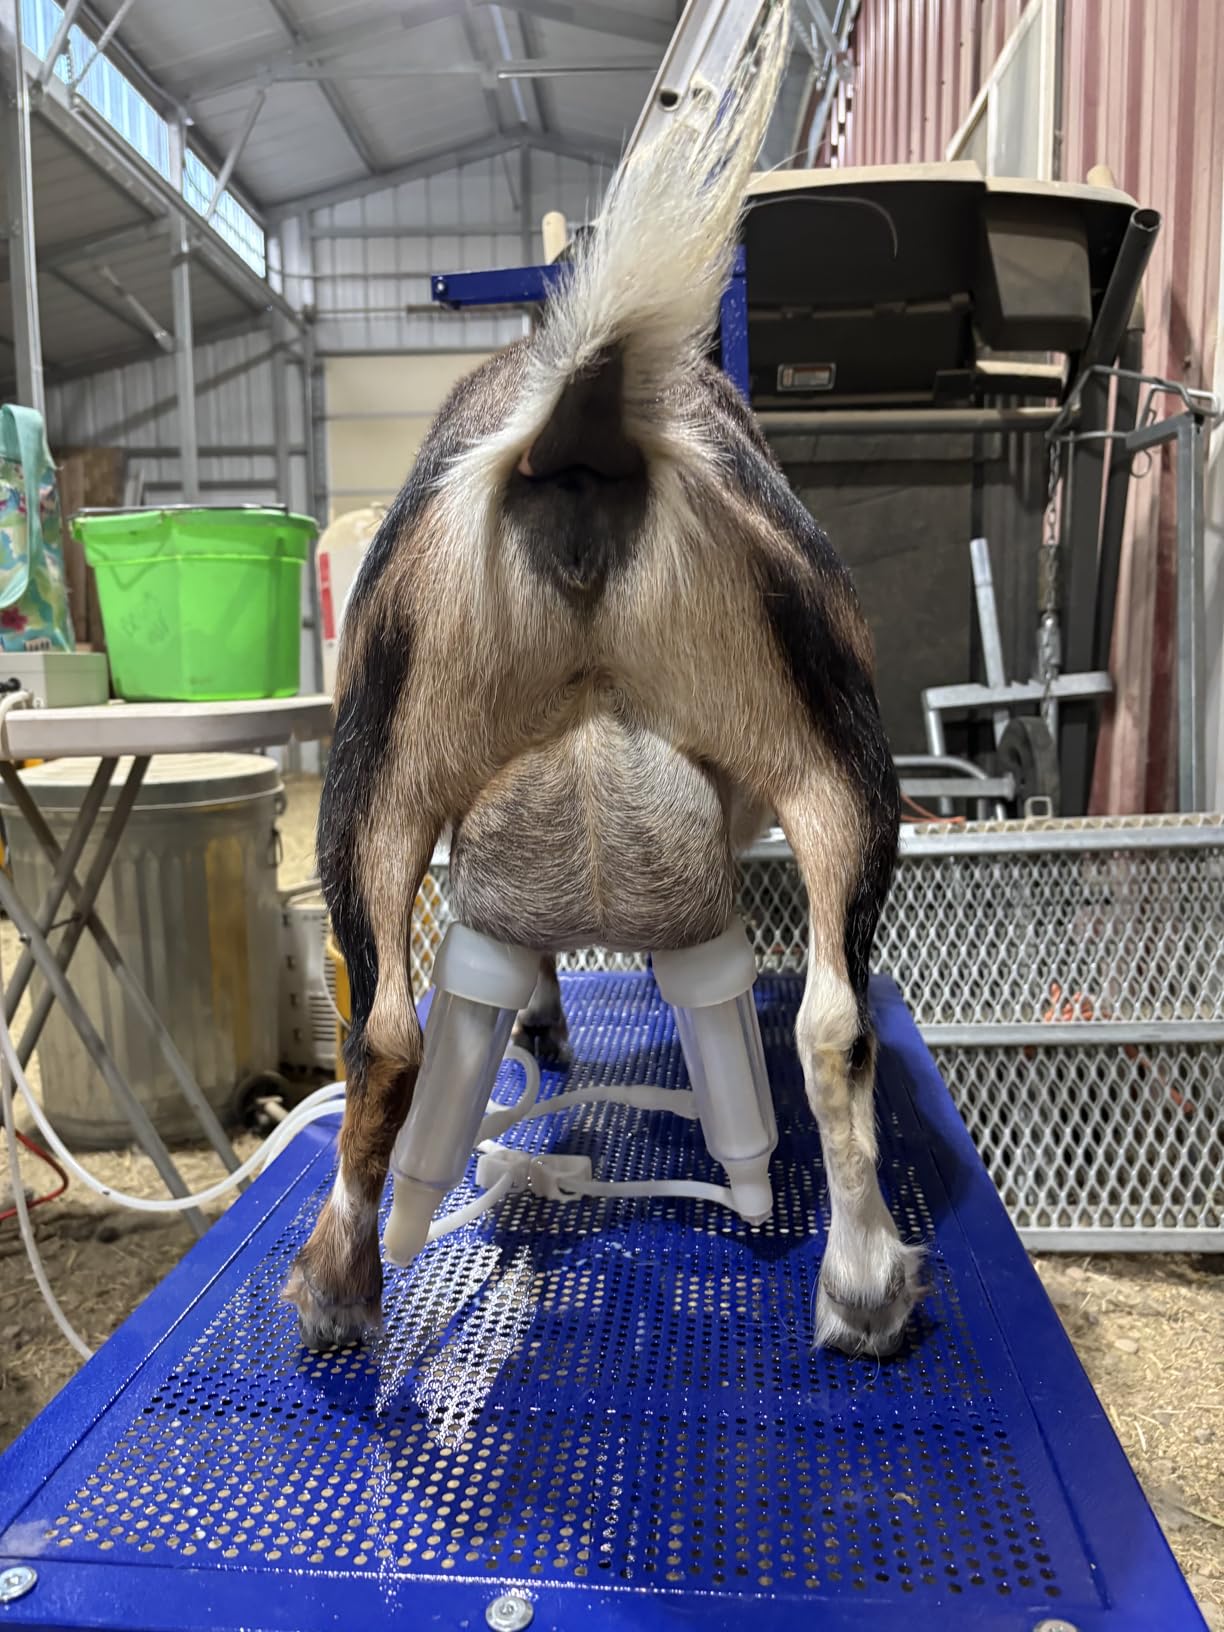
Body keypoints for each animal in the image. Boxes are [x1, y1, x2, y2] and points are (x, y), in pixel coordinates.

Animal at [285, 2, 920, 1360]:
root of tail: (580, 432)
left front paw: (542, 1024)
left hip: (378, 783)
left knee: (385, 1034)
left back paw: (336, 1286)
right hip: (832, 767)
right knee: (831, 1019)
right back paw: (861, 1289)